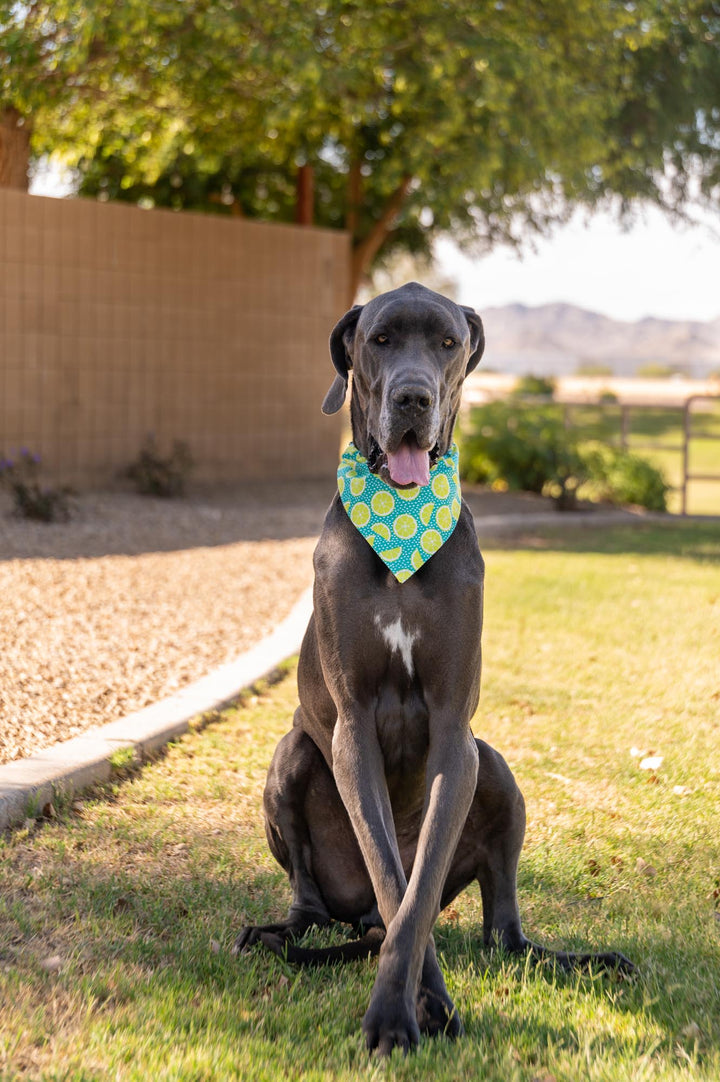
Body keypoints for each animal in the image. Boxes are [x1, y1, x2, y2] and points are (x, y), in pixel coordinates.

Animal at [234, 281, 627, 1056]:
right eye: (380, 340)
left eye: (447, 342)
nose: (414, 397)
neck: (403, 513)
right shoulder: (352, 729)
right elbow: (395, 880)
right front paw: (411, 1009)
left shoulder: (454, 734)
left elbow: (414, 897)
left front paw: (409, 1008)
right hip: (292, 756)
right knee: (316, 897)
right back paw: (282, 932)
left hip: (495, 766)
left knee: (502, 932)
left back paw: (576, 957)